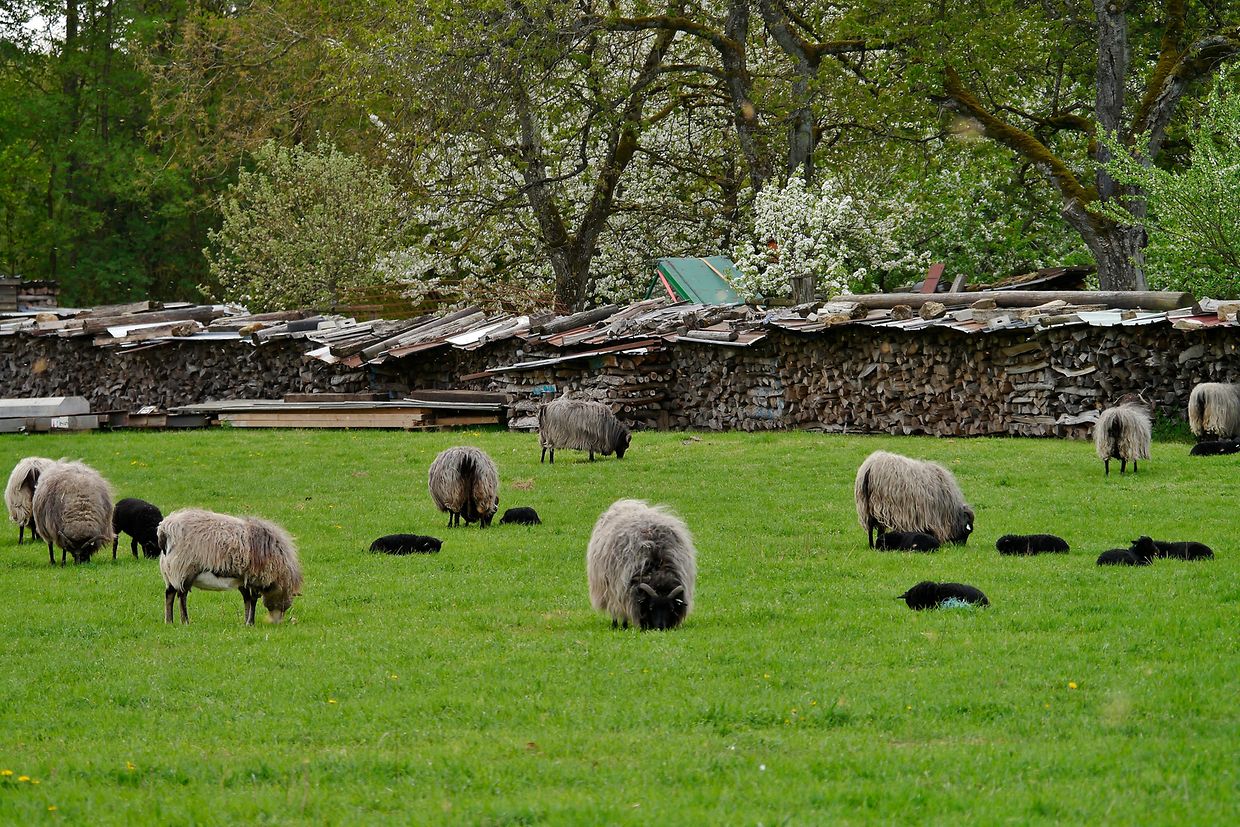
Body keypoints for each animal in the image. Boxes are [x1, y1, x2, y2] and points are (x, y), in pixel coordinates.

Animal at [157, 508, 302, 625]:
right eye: (284, 603)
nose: (276, 622)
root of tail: (165, 529)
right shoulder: (255, 578)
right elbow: (253, 599)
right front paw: (250, 622)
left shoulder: (243, 579)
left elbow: (247, 599)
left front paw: (246, 621)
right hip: (183, 568)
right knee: (182, 595)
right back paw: (185, 621)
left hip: (169, 571)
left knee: (169, 594)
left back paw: (169, 621)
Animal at [586, 499, 696, 631]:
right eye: (651, 607)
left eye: (671, 608)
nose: (660, 628)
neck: (657, 569)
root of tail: (627, 503)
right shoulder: (624, 589)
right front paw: (623, 626)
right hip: (610, 588)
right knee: (615, 607)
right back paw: (617, 625)